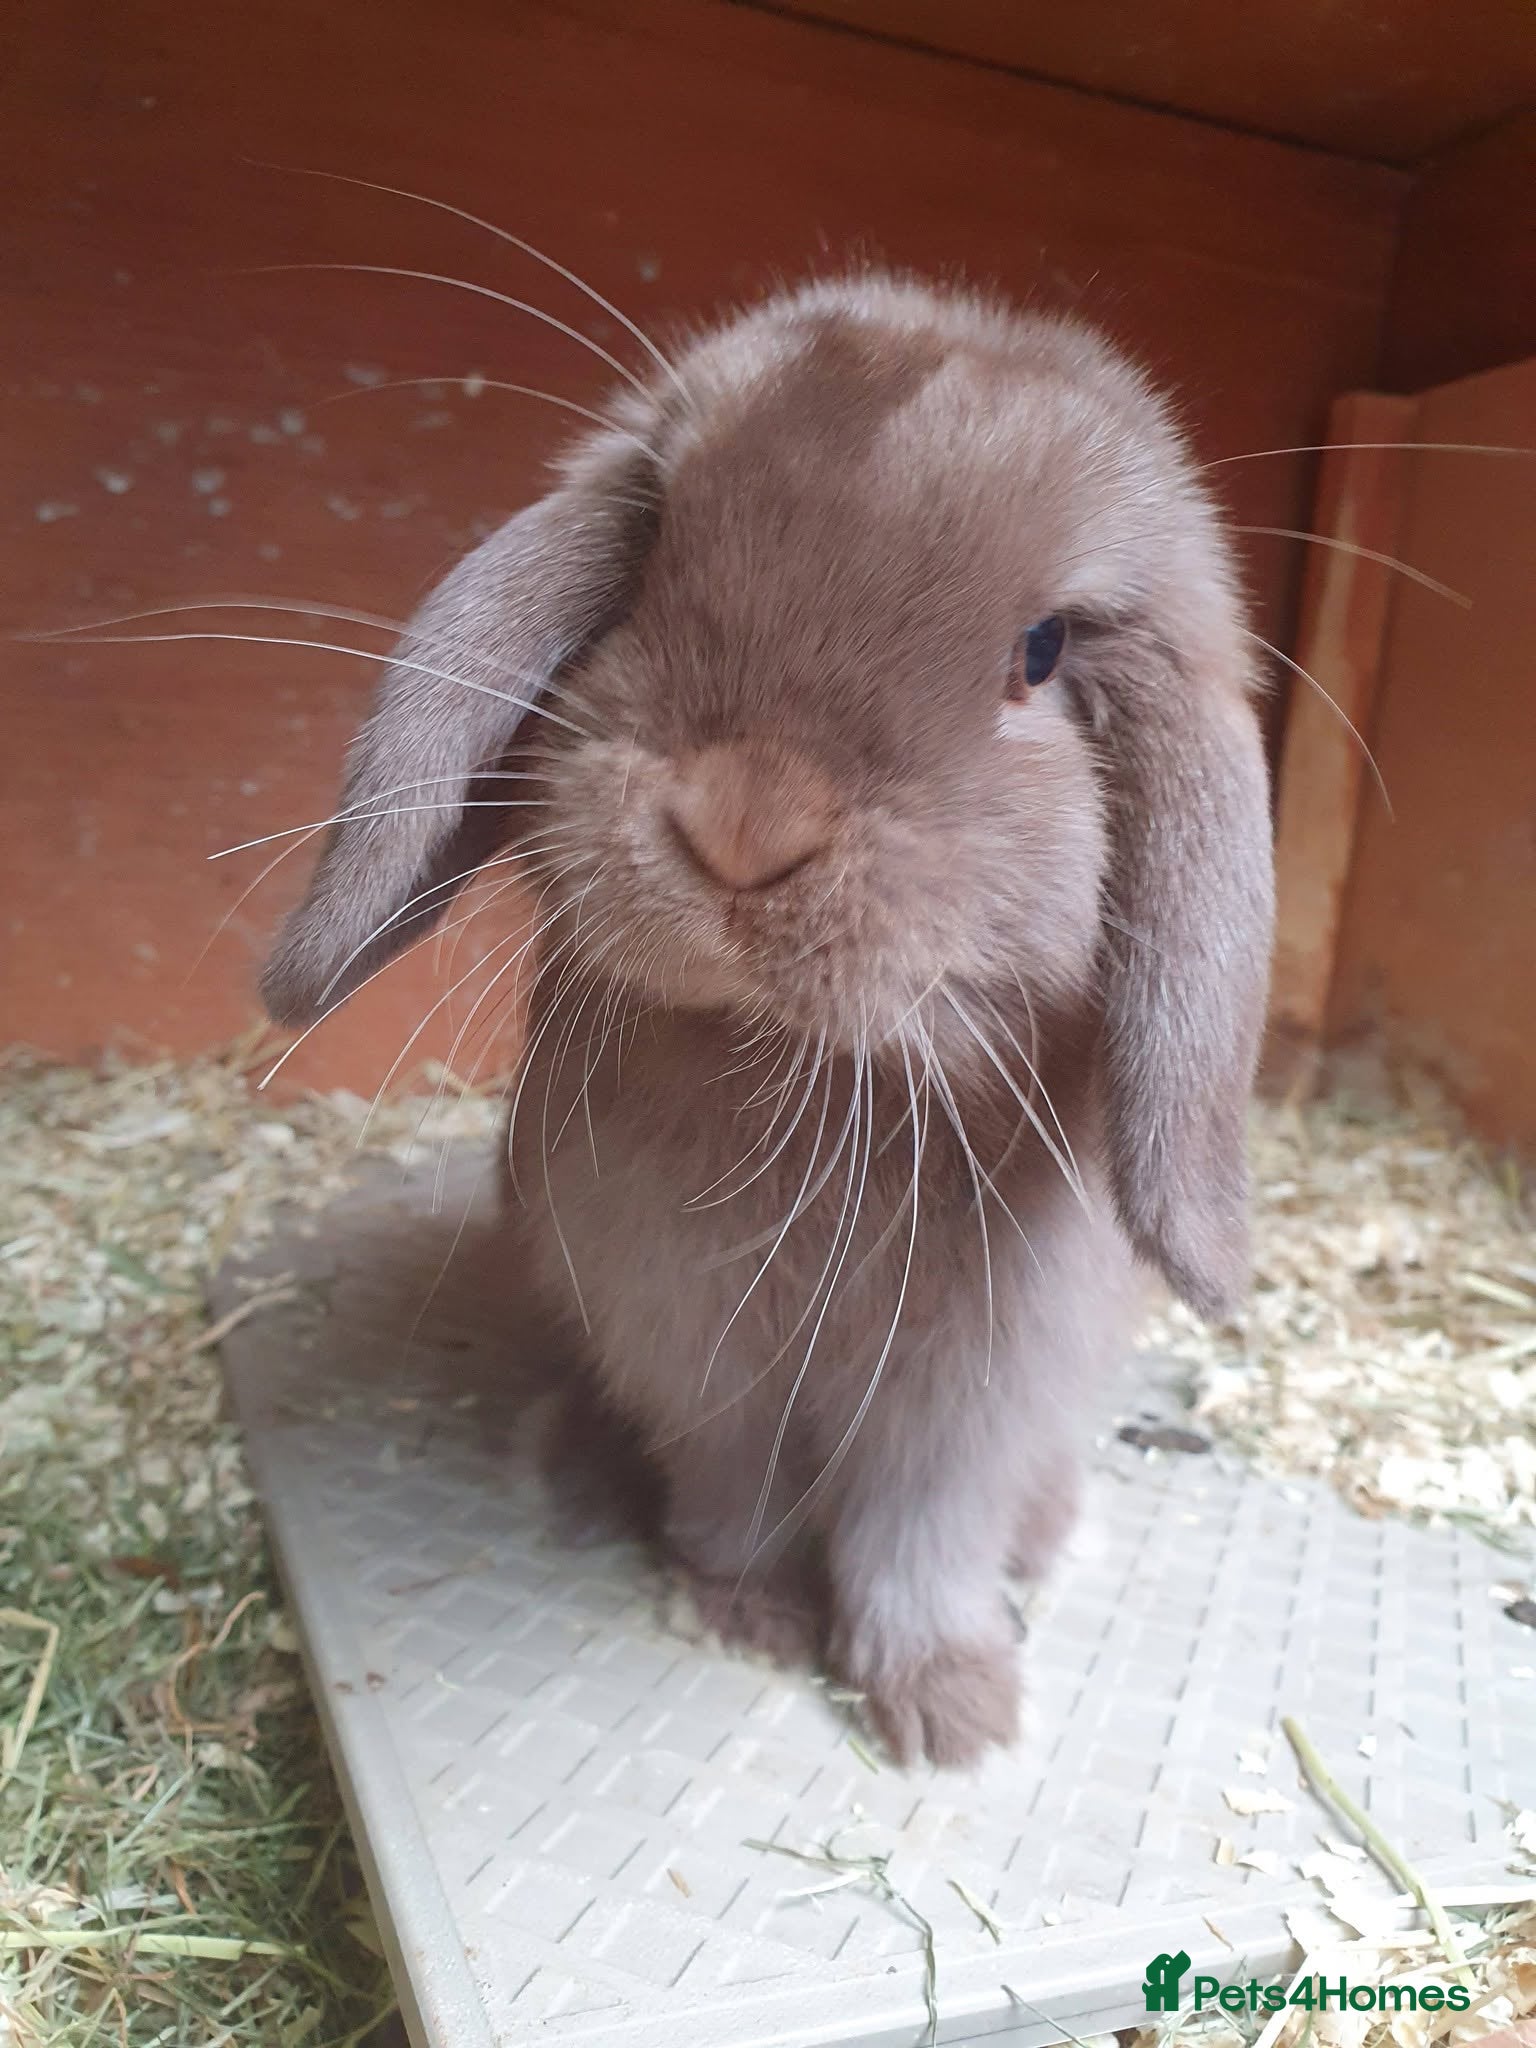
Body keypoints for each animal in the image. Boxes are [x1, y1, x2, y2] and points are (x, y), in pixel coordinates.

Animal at [260, 274, 1274, 1768]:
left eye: (1039, 652)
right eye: (655, 550)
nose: (745, 821)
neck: (803, 1079)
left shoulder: (972, 1395)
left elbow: (921, 1540)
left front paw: (951, 1712)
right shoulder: (695, 1352)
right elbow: (736, 1492)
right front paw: (748, 1616)